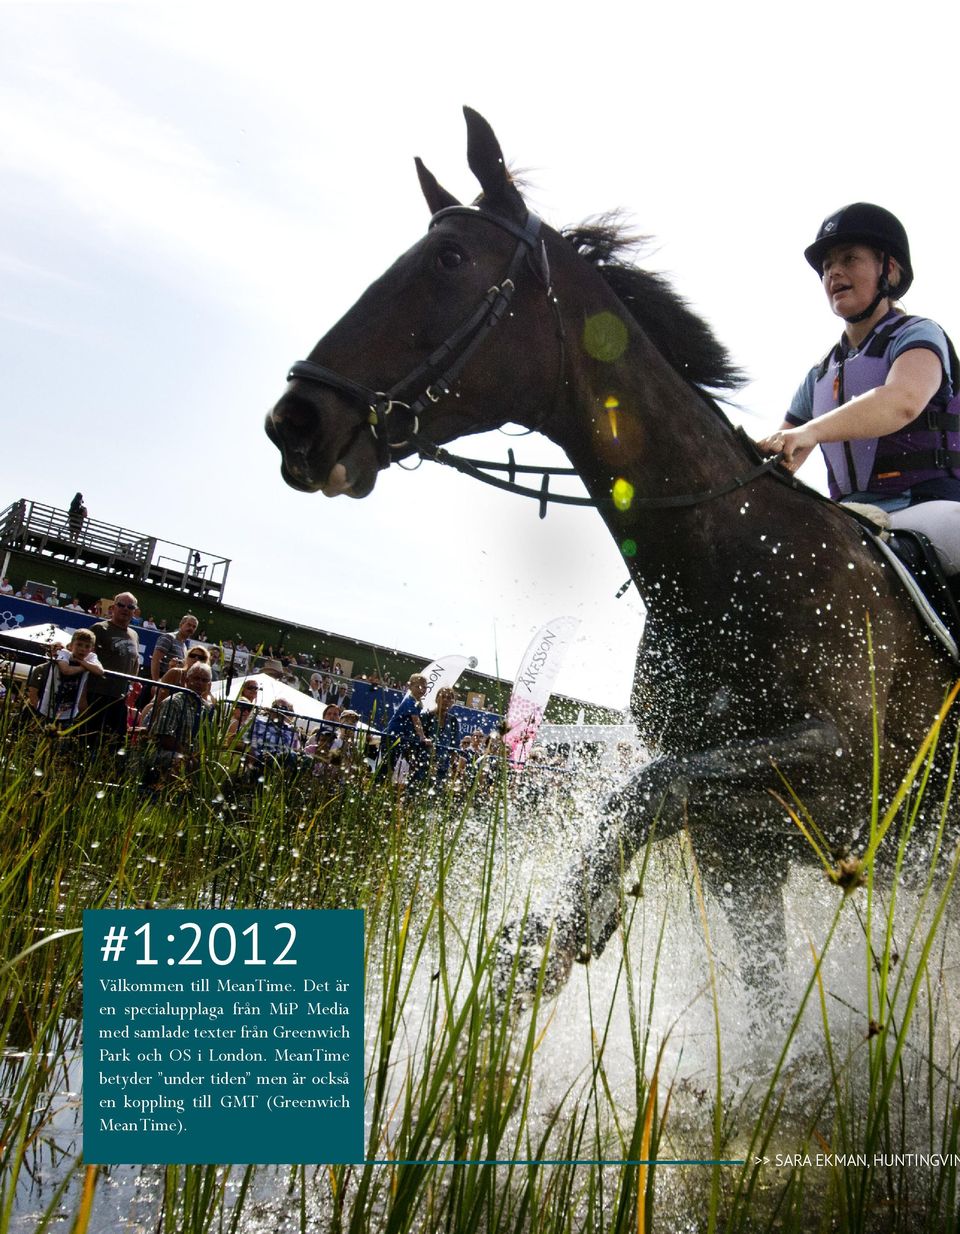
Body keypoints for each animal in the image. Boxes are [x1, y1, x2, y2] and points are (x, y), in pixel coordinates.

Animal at [264, 108, 957, 1002]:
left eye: (449, 260)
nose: (295, 421)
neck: (731, 558)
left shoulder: (841, 775)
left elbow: (642, 790)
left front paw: (553, 933)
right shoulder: (739, 843)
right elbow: (761, 1001)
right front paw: (546, 937)